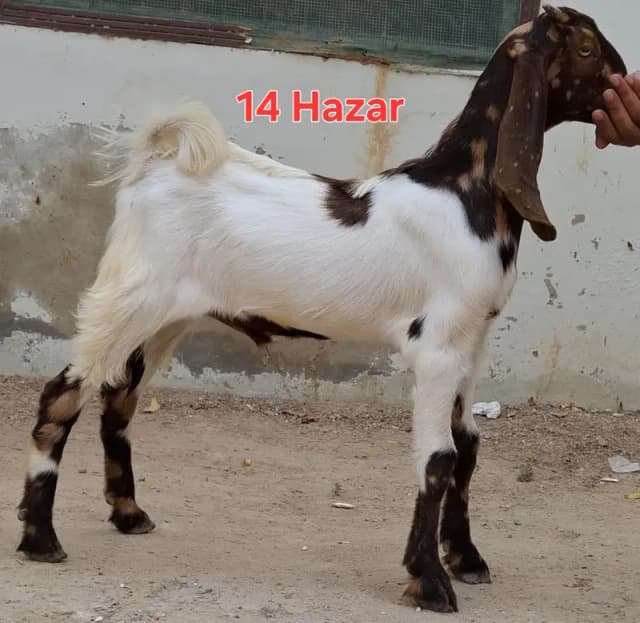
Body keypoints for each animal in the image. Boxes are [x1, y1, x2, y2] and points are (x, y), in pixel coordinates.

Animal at [16, 5, 626, 614]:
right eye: (587, 50)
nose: (624, 81)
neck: (465, 189)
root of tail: (154, 164)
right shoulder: (437, 346)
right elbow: (438, 458)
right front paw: (428, 580)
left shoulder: (472, 342)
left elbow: (468, 446)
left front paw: (467, 558)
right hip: (128, 298)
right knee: (63, 395)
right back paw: (40, 538)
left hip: (166, 319)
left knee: (119, 398)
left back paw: (128, 514)